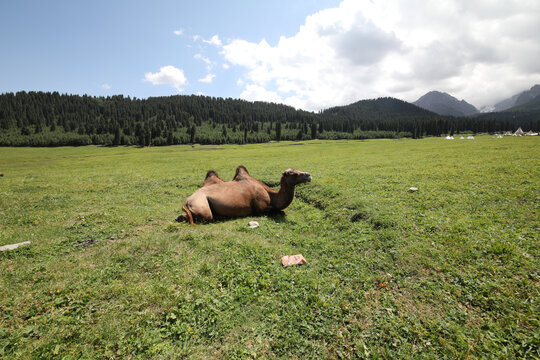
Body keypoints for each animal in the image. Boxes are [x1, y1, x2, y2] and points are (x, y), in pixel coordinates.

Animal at [177, 166, 312, 225]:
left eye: (297, 170)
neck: (271, 195)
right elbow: (278, 211)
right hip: (201, 205)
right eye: (293, 174)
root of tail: (187, 201)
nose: (308, 175)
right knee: (206, 216)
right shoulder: (260, 208)